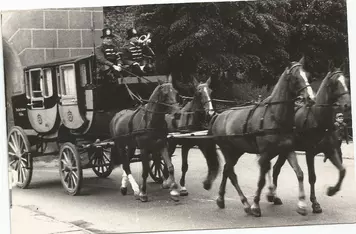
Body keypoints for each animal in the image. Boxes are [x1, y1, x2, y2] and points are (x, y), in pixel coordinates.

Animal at [204, 57, 316, 218]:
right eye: (295, 78)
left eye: (308, 75)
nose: (311, 98)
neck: (275, 116)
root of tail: (218, 116)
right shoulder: (265, 154)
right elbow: (261, 180)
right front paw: (256, 205)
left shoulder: (287, 149)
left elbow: (299, 173)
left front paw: (301, 204)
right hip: (227, 150)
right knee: (231, 173)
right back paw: (245, 203)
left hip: (237, 151)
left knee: (226, 170)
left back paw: (221, 199)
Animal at [266, 62, 352, 214]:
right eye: (335, 83)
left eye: (346, 81)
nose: (347, 104)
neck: (317, 117)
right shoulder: (310, 152)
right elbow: (312, 177)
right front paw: (315, 203)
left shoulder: (330, 150)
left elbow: (342, 171)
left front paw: (332, 190)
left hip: (283, 151)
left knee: (276, 169)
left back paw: (274, 197)